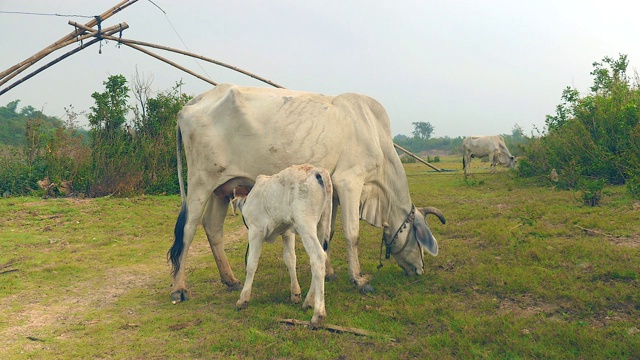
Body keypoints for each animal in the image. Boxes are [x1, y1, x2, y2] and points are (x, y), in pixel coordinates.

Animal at [168, 82, 448, 304]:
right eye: (419, 238)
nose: (420, 269)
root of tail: (192, 103)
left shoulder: (332, 193)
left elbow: (328, 235)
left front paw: (329, 272)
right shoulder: (349, 182)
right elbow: (352, 234)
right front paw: (358, 279)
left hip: (221, 189)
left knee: (213, 228)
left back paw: (230, 280)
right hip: (200, 182)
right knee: (188, 230)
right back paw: (179, 289)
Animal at [235, 165, 336, 328]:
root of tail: (316, 171)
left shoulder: (256, 231)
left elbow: (251, 264)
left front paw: (243, 299)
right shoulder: (287, 232)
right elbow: (290, 259)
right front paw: (295, 293)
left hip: (305, 224)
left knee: (318, 257)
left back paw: (317, 315)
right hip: (322, 224)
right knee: (322, 256)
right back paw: (308, 302)